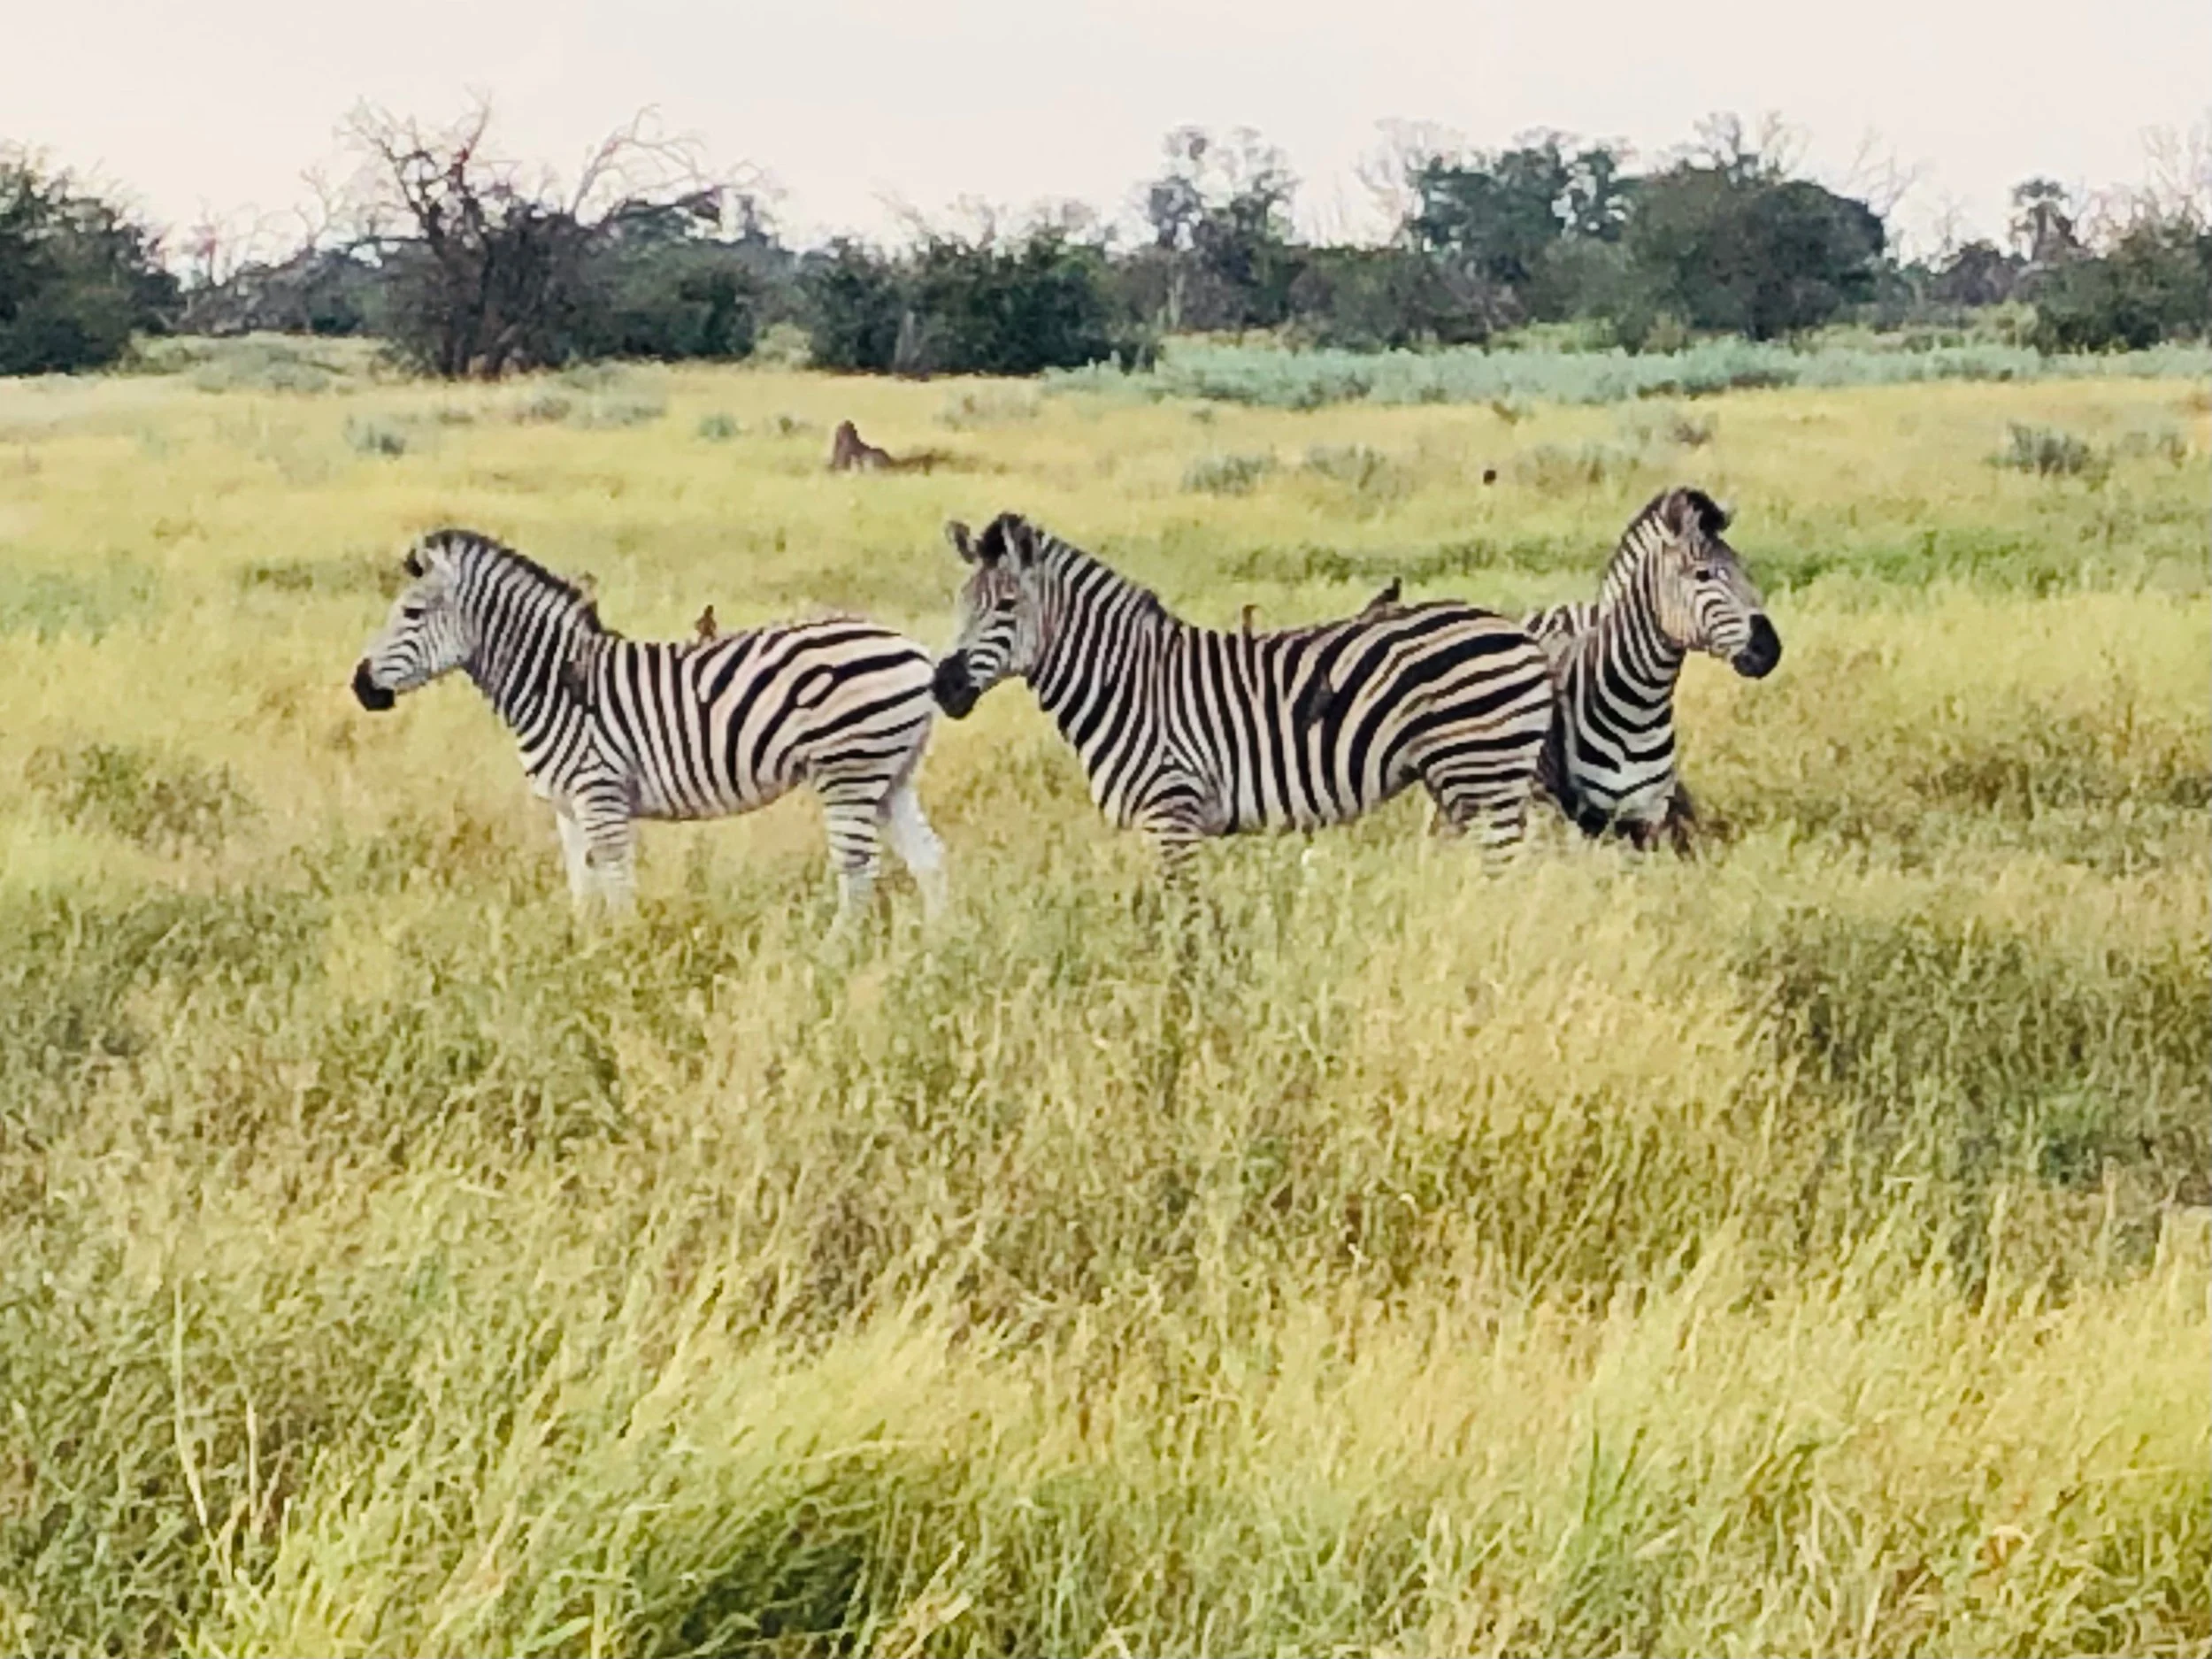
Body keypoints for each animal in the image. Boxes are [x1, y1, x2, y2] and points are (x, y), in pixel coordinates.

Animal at [350, 528, 947, 918]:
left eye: (412, 613)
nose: (360, 687)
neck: (555, 685)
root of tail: (915, 650)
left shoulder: (601, 795)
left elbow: (617, 886)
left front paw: (623, 956)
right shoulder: (567, 809)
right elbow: (582, 890)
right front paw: (584, 952)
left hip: (849, 770)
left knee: (859, 869)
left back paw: (835, 957)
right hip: (890, 776)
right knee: (929, 859)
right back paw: (936, 951)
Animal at [927, 512, 1556, 873]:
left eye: (1007, 605)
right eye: (960, 602)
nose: (943, 686)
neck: (1125, 683)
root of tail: (1519, 631)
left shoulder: (1171, 815)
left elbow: (1180, 923)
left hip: (1486, 774)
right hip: (1460, 782)